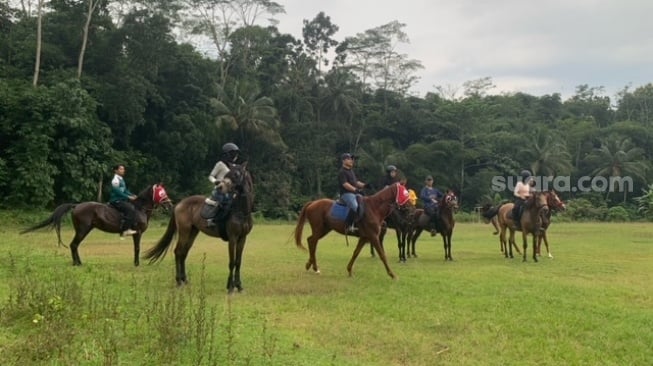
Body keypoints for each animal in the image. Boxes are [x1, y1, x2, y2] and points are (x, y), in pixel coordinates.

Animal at [20, 183, 172, 266]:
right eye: (161, 192)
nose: (170, 204)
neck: (140, 208)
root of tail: (76, 206)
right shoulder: (138, 233)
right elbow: (137, 248)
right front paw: (137, 264)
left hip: (84, 230)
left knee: (74, 245)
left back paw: (78, 263)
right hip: (82, 230)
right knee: (73, 244)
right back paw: (77, 263)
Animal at [144, 163, 253, 294]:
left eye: (237, 174)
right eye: (227, 175)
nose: (221, 187)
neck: (241, 212)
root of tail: (179, 204)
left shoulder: (242, 238)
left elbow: (238, 262)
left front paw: (239, 286)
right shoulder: (232, 239)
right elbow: (232, 262)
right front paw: (231, 287)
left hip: (193, 232)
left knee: (184, 253)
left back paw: (185, 280)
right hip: (184, 231)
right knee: (178, 252)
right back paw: (179, 281)